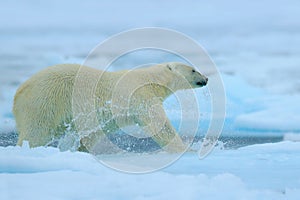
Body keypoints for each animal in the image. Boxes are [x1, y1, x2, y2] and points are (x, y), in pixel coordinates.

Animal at [12, 62, 207, 153]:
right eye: (193, 69)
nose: (206, 78)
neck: (152, 80)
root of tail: (19, 92)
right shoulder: (140, 96)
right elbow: (160, 125)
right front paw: (187, 149)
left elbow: (95, 132)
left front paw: (81, 149)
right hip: (45, 100)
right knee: (36, 131)